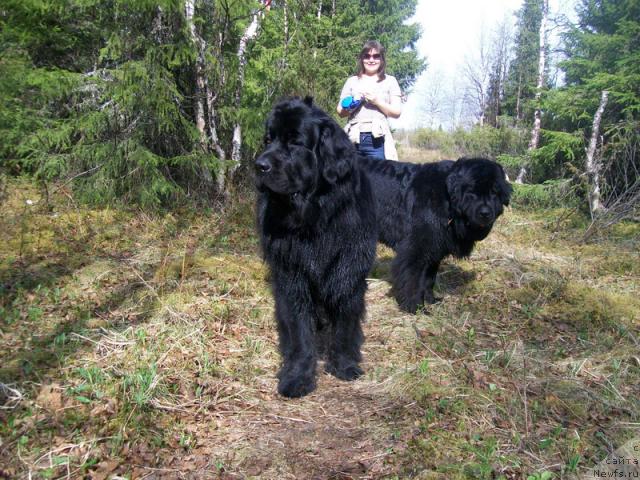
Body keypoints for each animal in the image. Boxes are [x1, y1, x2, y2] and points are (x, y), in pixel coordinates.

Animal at [254, 96, 376, 398]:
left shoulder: (348, 271)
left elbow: (345, 321)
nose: (258, 165)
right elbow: (299, 331)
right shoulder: (291, 276)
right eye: (268, 139)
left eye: (295, 142)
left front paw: (344, 364)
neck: (313, 218)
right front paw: (297, 376)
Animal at [362, 157, 512, 316]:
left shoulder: (435, 250)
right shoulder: (415, 249)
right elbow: (412, 279)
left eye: (494, 192)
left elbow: (428, 279)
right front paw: (414, 307)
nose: (485, 213)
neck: (447, 201)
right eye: (471, 191)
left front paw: (430, 300)